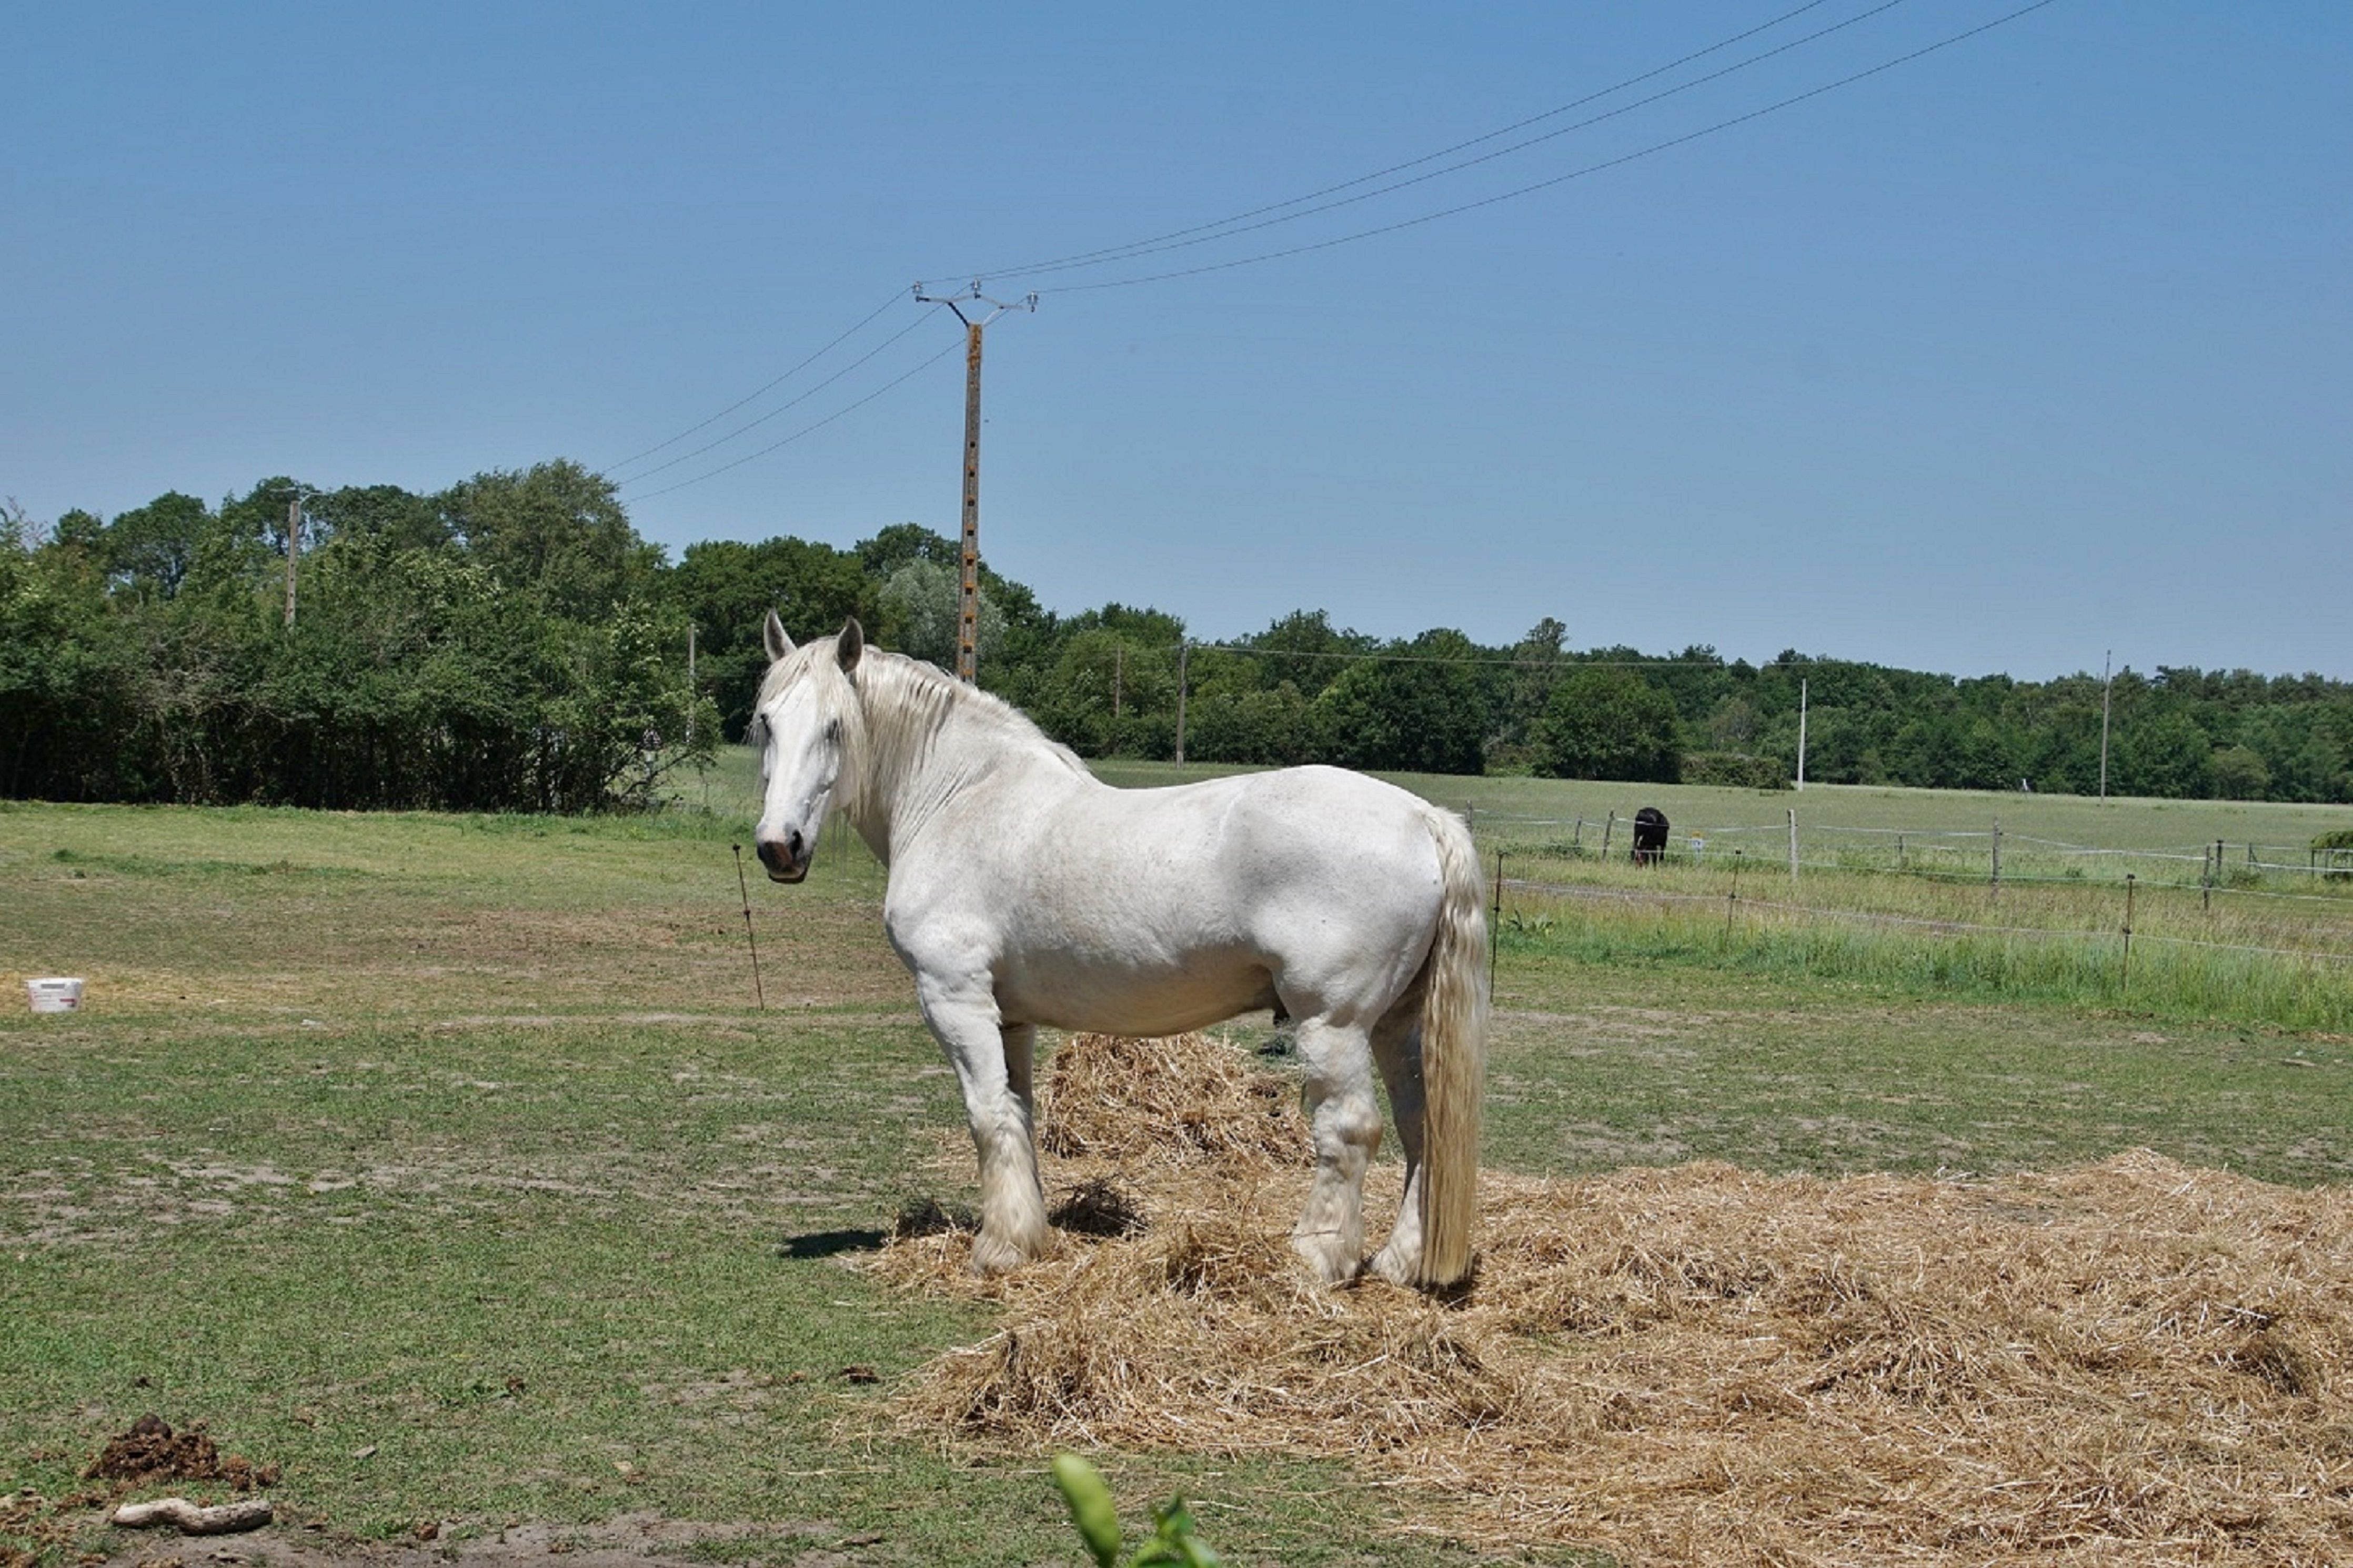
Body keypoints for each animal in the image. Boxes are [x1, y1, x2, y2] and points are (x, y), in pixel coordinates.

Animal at [749, 614, 1487, 1290]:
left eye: (835, 728)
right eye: (766, 722)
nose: (779, 846)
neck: (960, 800)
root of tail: (1423, 817)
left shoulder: (954, 999)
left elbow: (985, 1117)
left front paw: (998, 1250)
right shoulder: (1010, 1017)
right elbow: (1017, 1114)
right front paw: (1029, 1235)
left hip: (1332, 1025)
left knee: (1349, 1131)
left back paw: (1317, 1259)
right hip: (1395, 1023)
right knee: (1423, 1127)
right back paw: (1400, 1262)